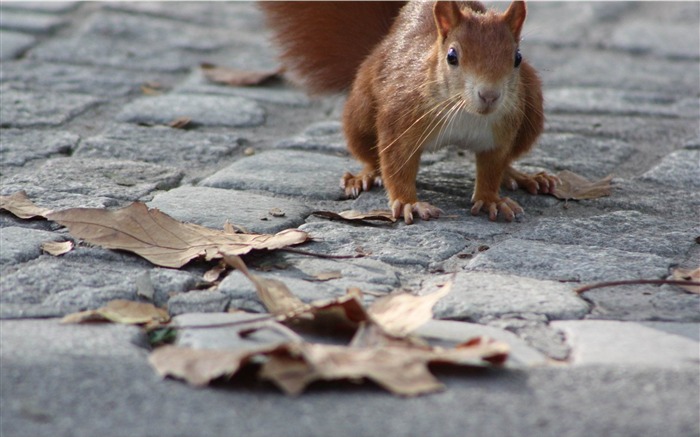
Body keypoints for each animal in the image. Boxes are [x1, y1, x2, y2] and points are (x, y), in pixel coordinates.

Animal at [260, 0, 560, 221]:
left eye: (517, 57)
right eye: (452, 57)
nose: (489, 96)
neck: (464, 112)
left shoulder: (500, 132)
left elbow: (493, 165)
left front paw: (490, 199)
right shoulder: (401, 117)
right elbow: (396, 162)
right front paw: (408, 203)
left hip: (531, 108)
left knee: (509, 159)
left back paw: (521, 176)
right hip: (360, 112)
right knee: (370, 153)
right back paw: (365, 175)